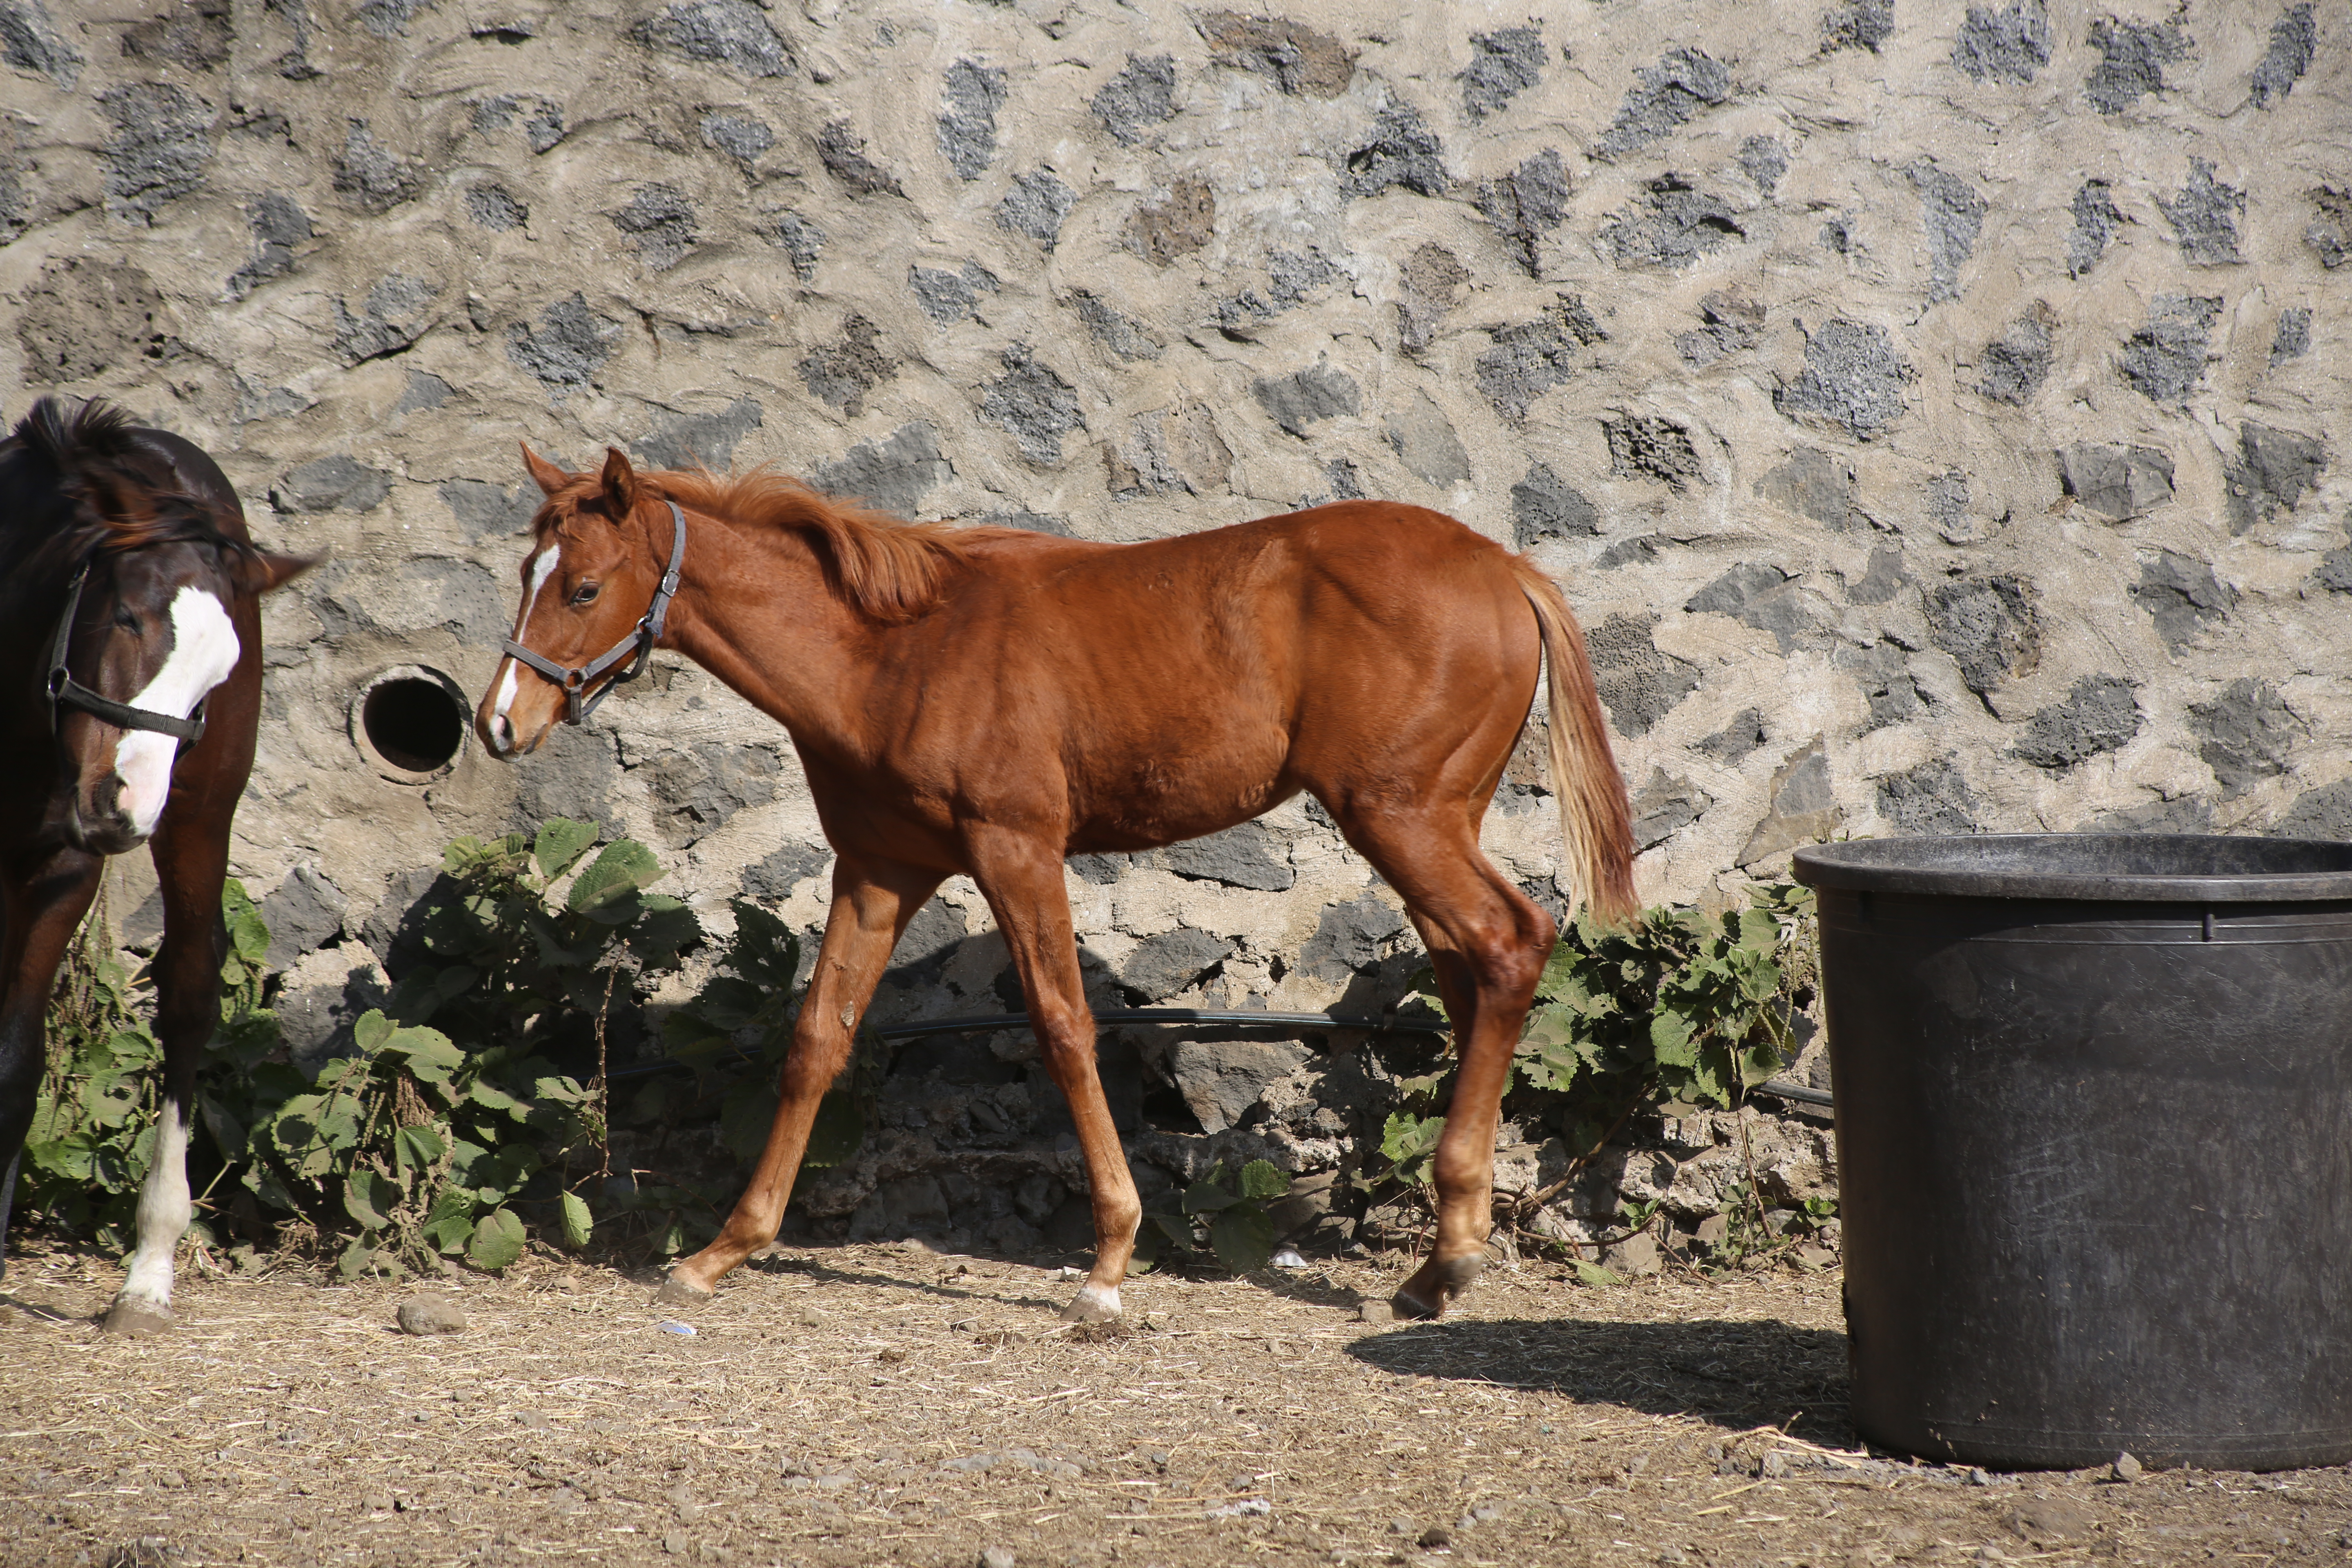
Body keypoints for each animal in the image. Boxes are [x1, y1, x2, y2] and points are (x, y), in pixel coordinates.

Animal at [2, 399, 310, 1335]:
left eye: (219, 670)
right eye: (131, 616)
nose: (125, 805)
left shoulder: (61, 876)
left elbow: (14, 1066)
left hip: (202, 816)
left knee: (188, 991)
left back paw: (151, 1265)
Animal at [477, 444, 1637, 1326]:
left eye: (584, 587)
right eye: (524, 575)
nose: (498, 724)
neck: (892, 652)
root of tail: (1504, 566)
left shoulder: (1016, 848)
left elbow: (1066, 1026)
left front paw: (1108, 1267)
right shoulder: (881, 869)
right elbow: (817, 1040)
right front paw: (724, 1249)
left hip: (1400, 816)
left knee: (1509, 944)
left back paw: (1448, 1260)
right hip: (1431, 822)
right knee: (1471, 973)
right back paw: (1439, 1262)